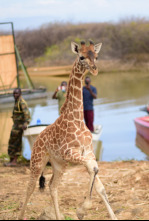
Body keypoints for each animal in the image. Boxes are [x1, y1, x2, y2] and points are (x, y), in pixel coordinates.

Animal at [19, 41, 117, 219]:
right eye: (81, 57)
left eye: (96, 56)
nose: (94, 69)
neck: (77, 118)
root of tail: (36, 140)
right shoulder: (70, 153)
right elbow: (94, 169)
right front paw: (82, 210)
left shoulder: (88, 152)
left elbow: (98, 180)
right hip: (37, 161)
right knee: (30, 187)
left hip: (59, 164)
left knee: (52, 186)